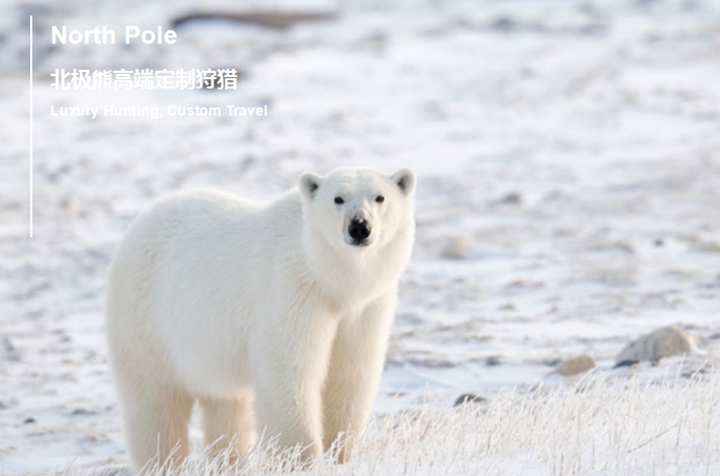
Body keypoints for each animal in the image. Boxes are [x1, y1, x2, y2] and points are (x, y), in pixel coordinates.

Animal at [103, 167, 414, 472]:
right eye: (338, 198)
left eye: (380, 197)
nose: (359, 226)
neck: (330, 280)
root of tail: (138, 224)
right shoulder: (291, 291)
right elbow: (290, 372)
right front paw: (302, 461)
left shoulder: (365, 308)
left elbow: (349, 374)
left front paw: (341, 456)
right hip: (146, 322)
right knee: (155, 405)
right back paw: (163, 463)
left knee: (226, 407)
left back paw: (230, 463)